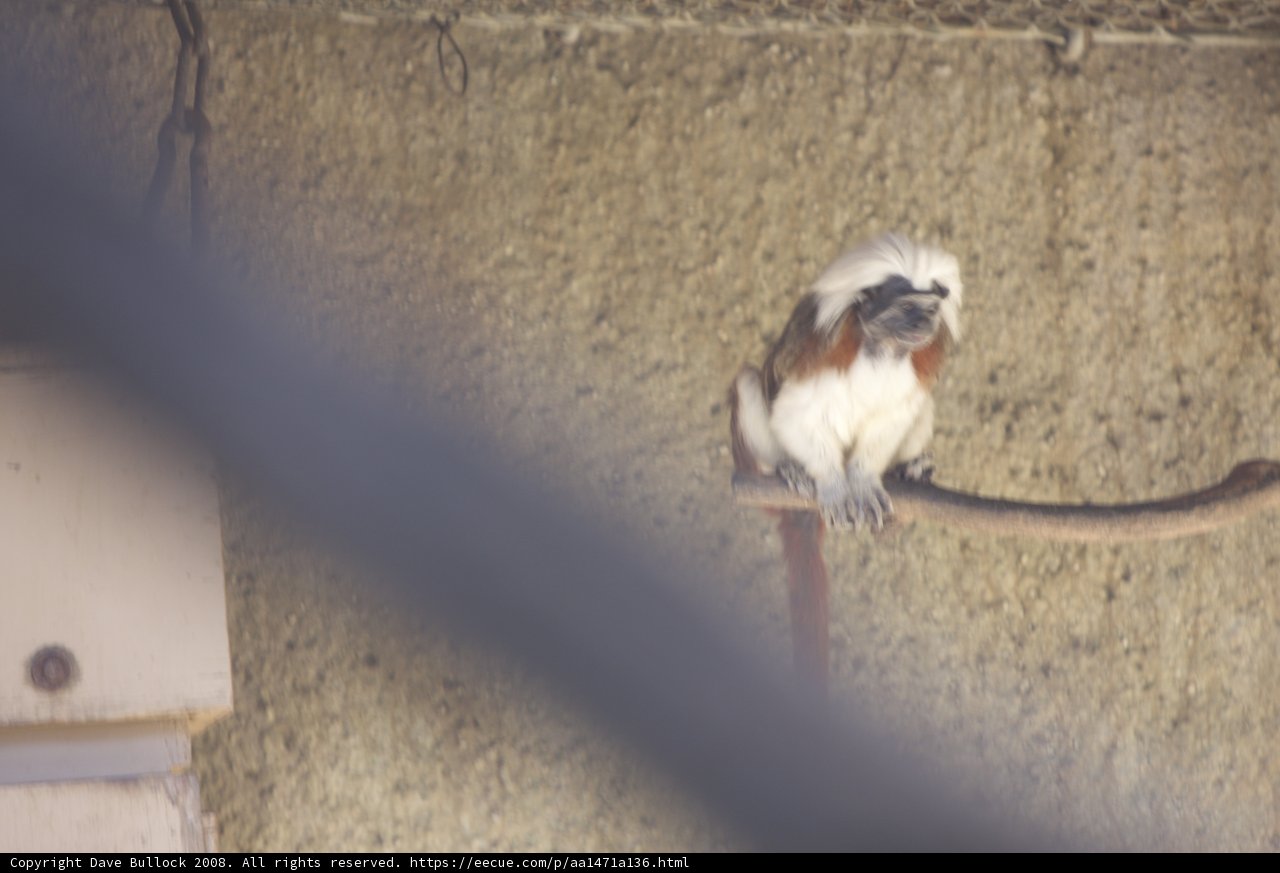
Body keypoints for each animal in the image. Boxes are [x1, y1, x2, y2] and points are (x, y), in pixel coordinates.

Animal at [729, 233, 962, 682]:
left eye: (929, 310)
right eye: (907, 308)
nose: (923, 326)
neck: (882, 349)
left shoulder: (915, 366)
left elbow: (891, 418)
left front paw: (865, 481)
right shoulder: (822, 352)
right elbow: (799, 413)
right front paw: (835, 486)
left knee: (921, 407)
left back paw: (908, 471)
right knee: (749, 381)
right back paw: (787, 471)